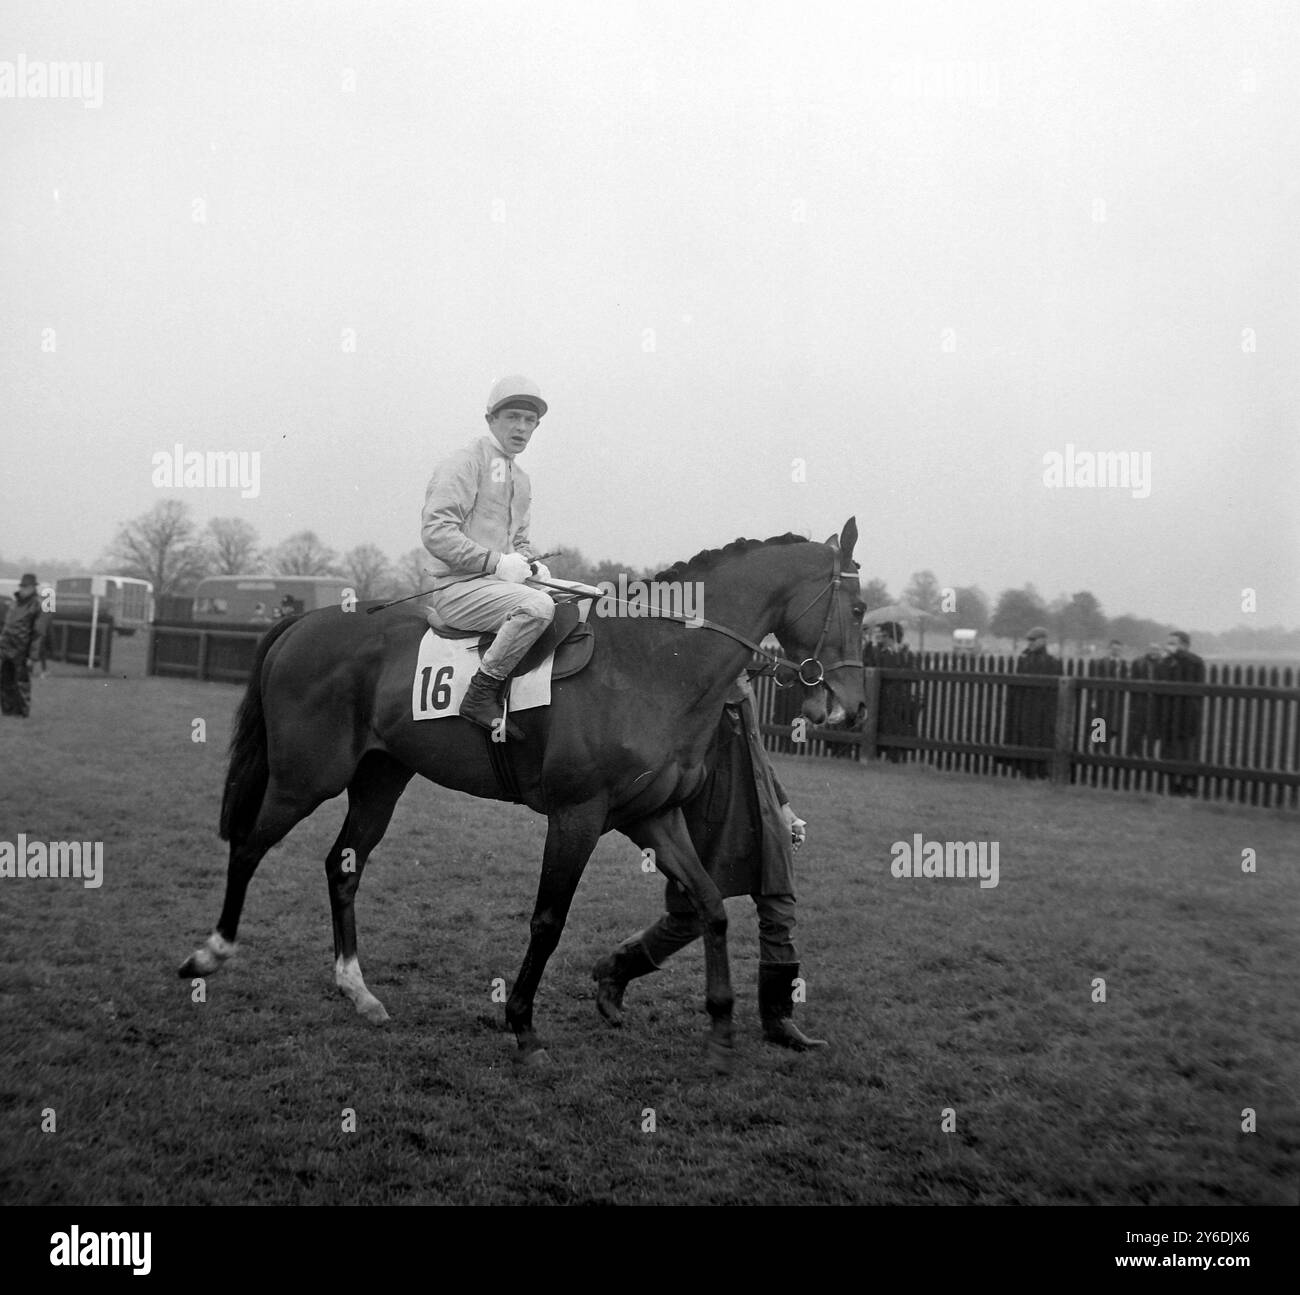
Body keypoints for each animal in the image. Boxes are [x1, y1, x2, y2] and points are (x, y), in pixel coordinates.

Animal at [172, 517, 863, 1071]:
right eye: (857, 611)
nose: (850, 708)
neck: (650, 665)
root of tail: (302, 623)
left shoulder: (655, 817)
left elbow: (713, 906)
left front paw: (719, 1027)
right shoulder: (578, 816)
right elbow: (548, 921)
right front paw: (523, 1025)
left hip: (380, 779)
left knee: (342, 867)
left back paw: (356, 989)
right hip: (304, 779)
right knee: (248, 846)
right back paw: (209, 954)